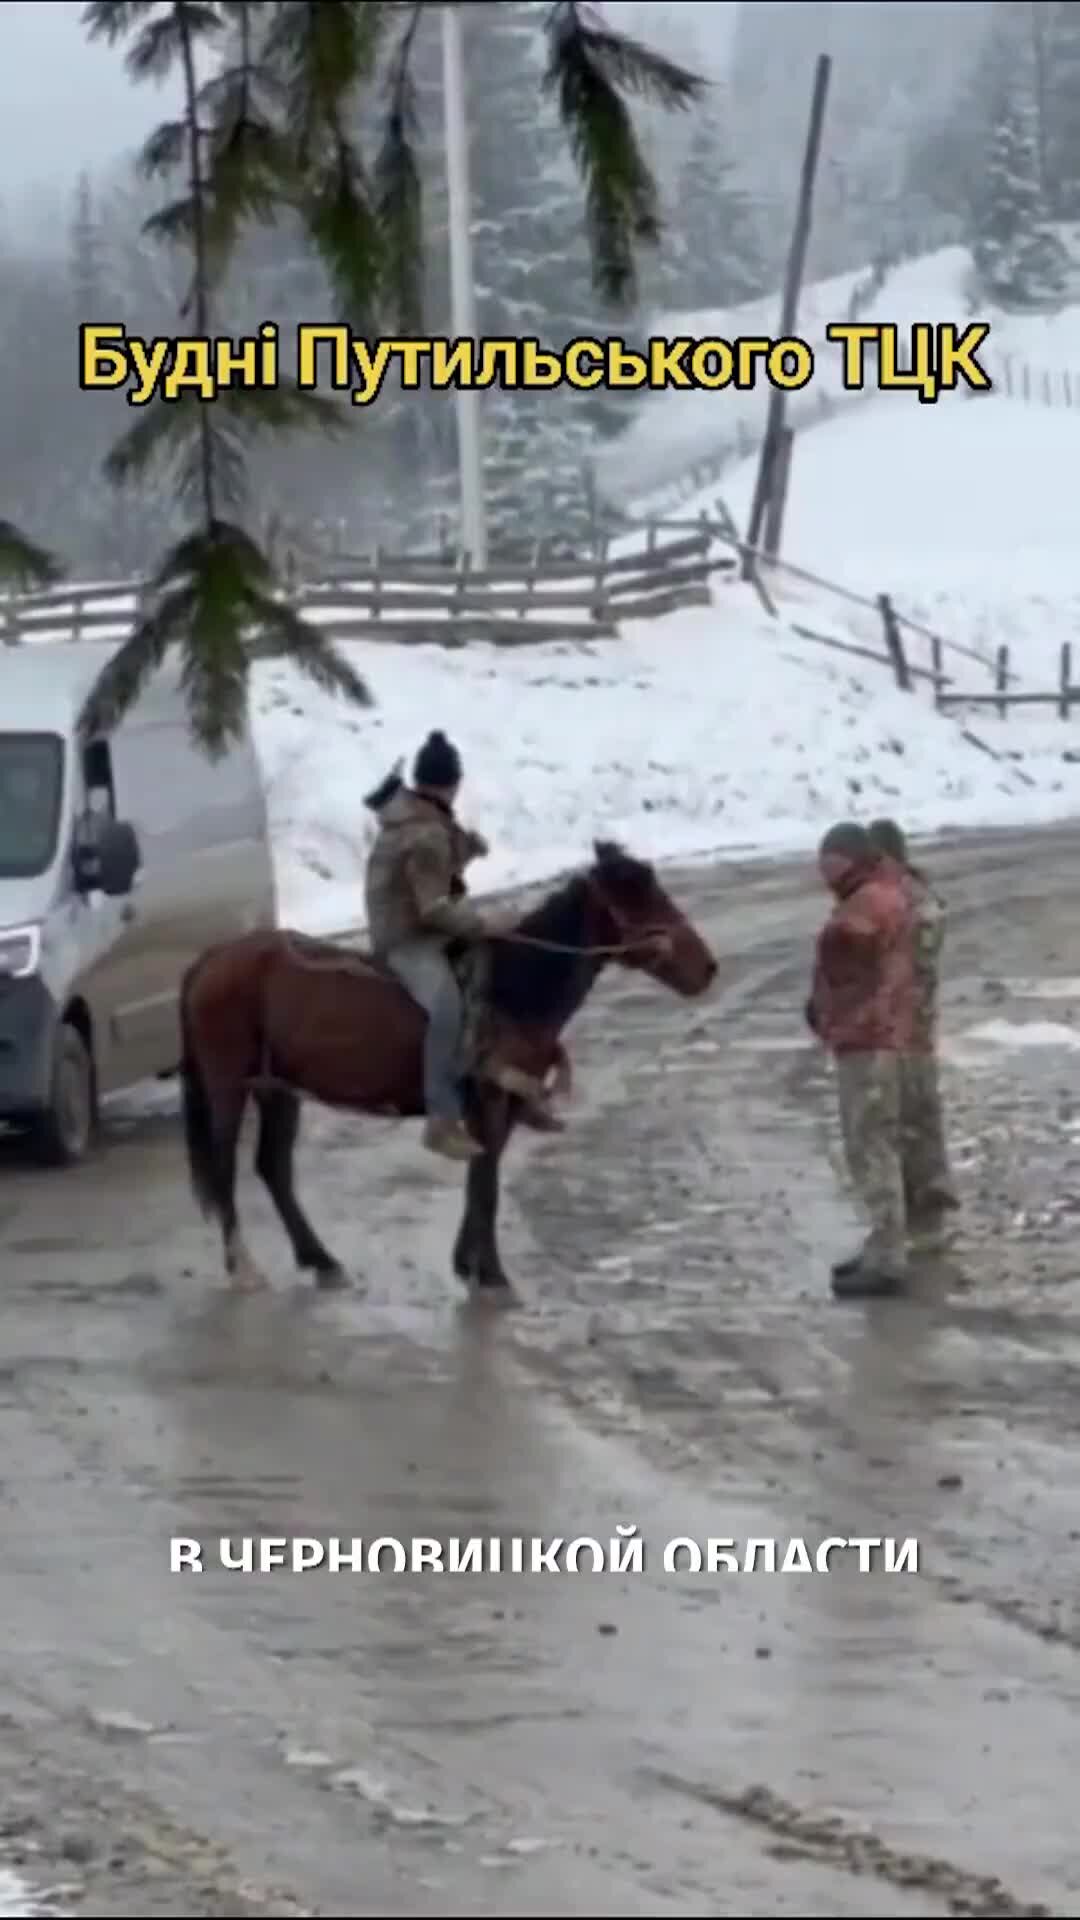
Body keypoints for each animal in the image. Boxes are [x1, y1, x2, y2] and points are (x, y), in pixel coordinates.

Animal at [176, 837, 714, 1290]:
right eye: (639, 900)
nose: (708, 968)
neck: (511, 991)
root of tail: (209, 960)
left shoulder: (498, 1108)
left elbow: (480, 1180)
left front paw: (468, 1263)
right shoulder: (491, 1102)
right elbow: (486, 1186)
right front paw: (491, 1274)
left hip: (278, 1089)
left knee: (274, 1169)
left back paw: (321, 1260)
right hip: (228, 1085)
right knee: (225, 1168)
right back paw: (244, 1267)